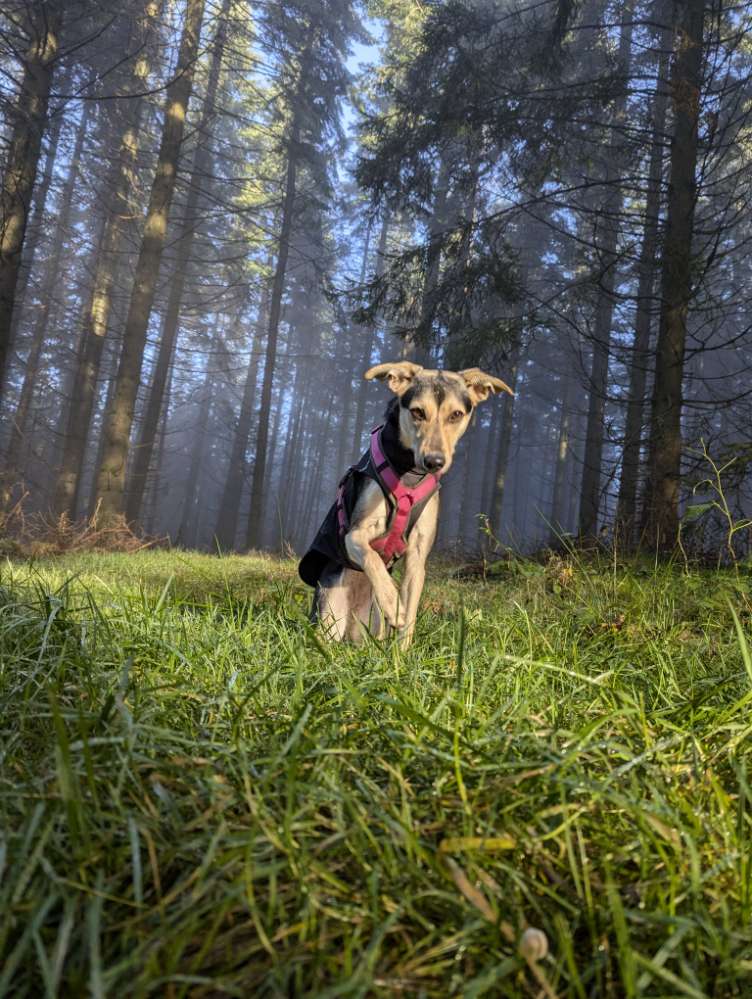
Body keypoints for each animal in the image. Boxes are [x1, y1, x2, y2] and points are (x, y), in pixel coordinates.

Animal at [296, 360, 516, 648]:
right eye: (418, 412)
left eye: (456, 415)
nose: (434, 461)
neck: (409, 473)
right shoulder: (353, 533)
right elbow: (371, 557)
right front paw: (393, 601)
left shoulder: (417, 555)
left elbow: (409, 615)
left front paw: (402, 653)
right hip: (329, 612)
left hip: (372, 624)